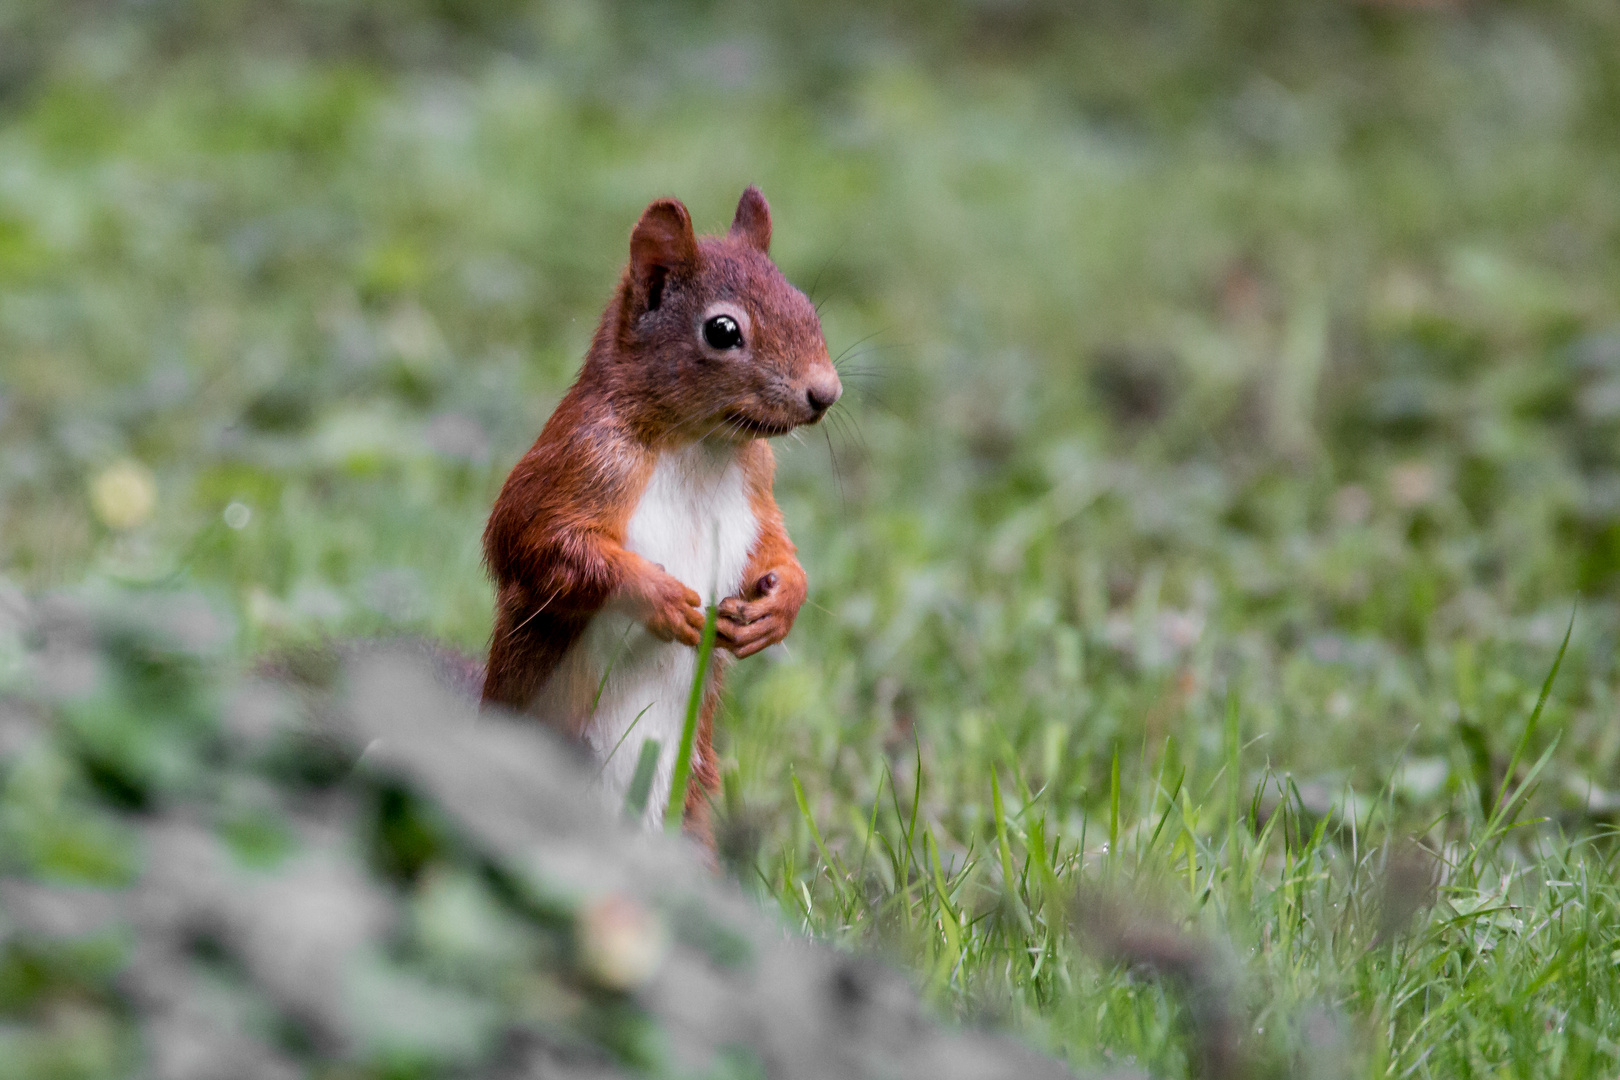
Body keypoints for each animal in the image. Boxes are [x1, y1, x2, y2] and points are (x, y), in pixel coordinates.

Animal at [476, 186, 835, 841]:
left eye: (806, 306)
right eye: (722, 330)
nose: (826, 393)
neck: (699, 446)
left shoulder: (757, 488)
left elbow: (775, 545)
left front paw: (779, 607)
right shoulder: (578, 461)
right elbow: (536, 543)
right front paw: (659, 597)